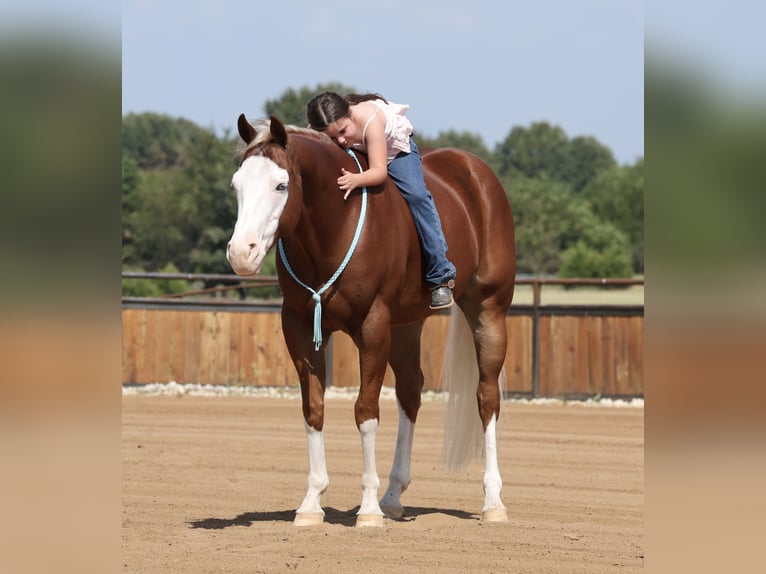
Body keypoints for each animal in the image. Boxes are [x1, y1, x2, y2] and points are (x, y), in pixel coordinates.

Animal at [226, 115, 516, 527]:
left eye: (281, 184)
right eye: (236, 185)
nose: (240, 253)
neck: (335, 224)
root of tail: (477, 173)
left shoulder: (373, 325)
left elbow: (365, 411)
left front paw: (367, 509)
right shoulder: (299, 326)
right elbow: (313, 409)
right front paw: (312, 502)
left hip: (489, 309)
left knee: (486, 397)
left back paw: (492, 501)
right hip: (406, 326)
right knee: (411, 391)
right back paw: (394, 495)